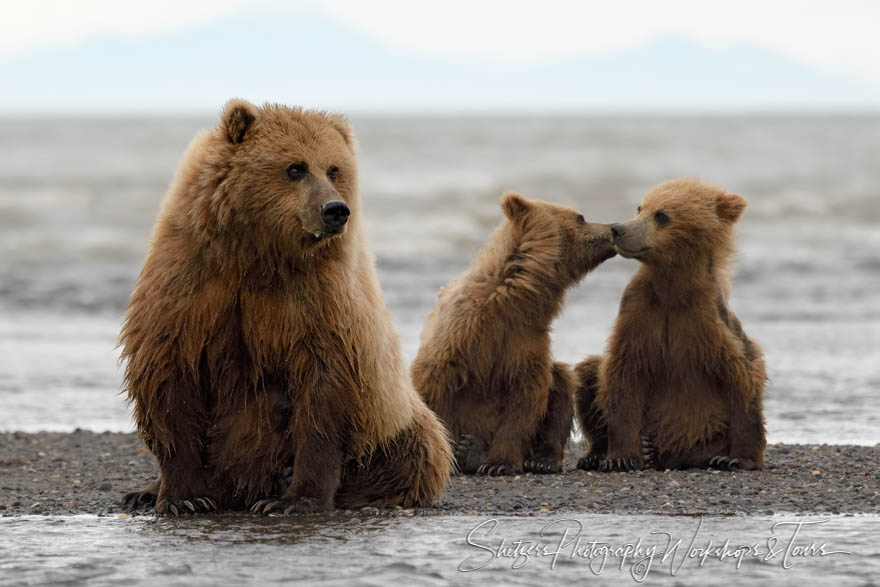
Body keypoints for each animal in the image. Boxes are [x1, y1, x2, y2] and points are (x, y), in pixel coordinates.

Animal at [122, 101, 454, 516]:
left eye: (333, 168)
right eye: (295, 167)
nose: (335, 210)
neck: (257, 254)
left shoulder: (319, 300)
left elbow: (324, 388)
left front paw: (294, 499)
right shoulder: (190, 281)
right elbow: (171, 376)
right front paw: (184, 497)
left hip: (394, 415)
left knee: (417, 449)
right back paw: (145, 490)